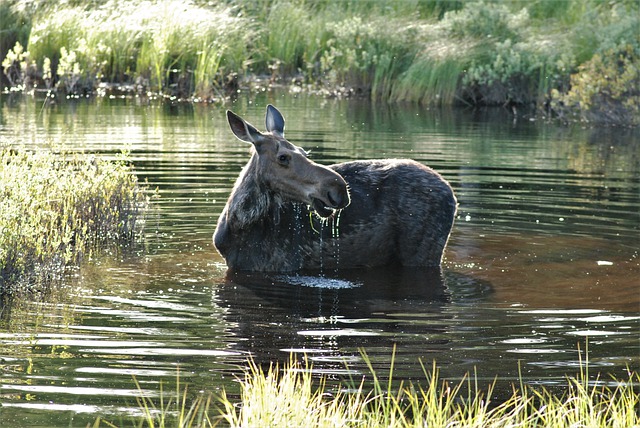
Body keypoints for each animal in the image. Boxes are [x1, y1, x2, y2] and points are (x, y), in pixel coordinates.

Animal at [214, 104, 456, 270]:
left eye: (304, 152)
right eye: (283, 157)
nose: (339, 189)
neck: (239, 226)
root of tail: (451, 193)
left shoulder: (283, 265)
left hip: (423, 253)